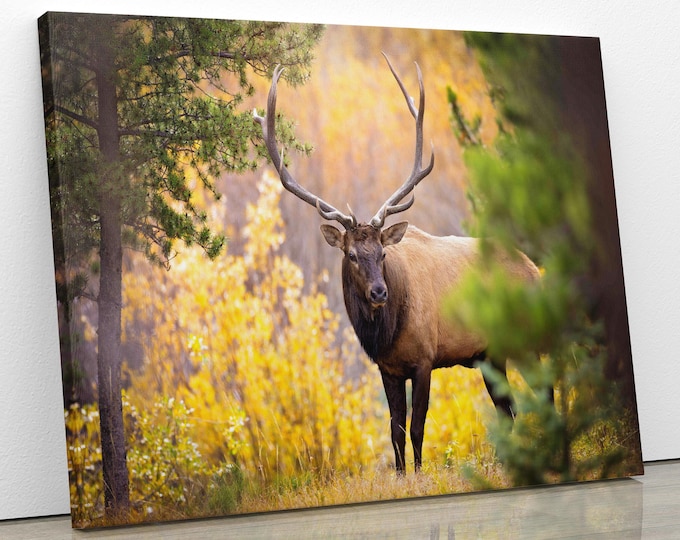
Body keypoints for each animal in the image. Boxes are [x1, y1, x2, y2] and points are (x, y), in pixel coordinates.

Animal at [253, 54, 541, 473]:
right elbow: (395, 432)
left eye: (383, 253)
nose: (378, 292)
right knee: (509, 410)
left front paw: (420, 475)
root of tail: (535, 270)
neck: (386, 334)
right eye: (352, 255)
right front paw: (403, 475)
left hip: (526, 341)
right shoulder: (387, 369)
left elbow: (418, 428)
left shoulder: (425, 359)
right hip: (492, 355)